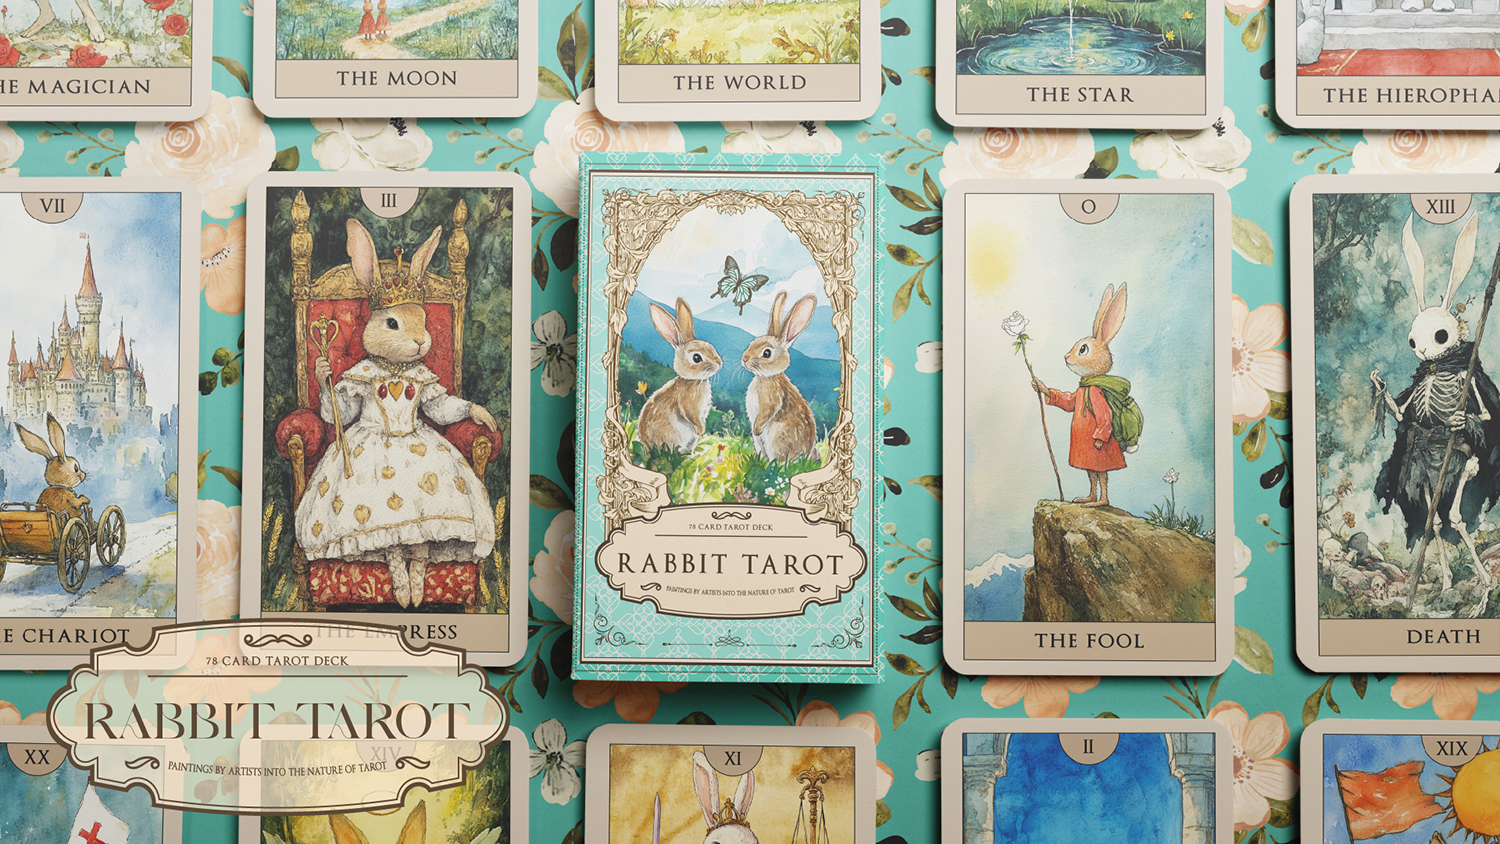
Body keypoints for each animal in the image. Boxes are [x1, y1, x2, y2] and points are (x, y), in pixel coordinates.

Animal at [294, 219, 499, 611]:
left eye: (424, 319)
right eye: (391, 324)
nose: (420, 343)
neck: (395, 369)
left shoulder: (429, 391)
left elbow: (443, 407)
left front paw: (481, 415)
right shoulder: (353, 386)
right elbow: (339, 408)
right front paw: (322, 368)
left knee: (420, 545)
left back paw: (416, 589)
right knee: (394, 546)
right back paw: (404, 593)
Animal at [637, 298, 722, 453]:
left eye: (711, 347)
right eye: (696, 358)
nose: (719, 363)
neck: (692, 380)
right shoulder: (689, 405)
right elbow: (691, 415)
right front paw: (701, 430)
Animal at [742, 291, 818, 463]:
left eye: (766, 353)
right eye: (751, 343)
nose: (744, 359)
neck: (766, 377)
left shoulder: (772, 398)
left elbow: (769, 411)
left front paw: (756, 429)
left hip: (777, 438)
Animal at [1031, 284, 1130, 508]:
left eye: (1083, 349)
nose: (1066, 357)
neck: (1088, 383)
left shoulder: (1097, 395)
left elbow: (1104, 417)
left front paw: (1099, 442)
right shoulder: (1077, 395)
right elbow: (1068, 402)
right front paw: (1040, 386)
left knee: (1101, 474)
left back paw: (1099, 503)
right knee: (1092, 475)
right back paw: (1087, 498)